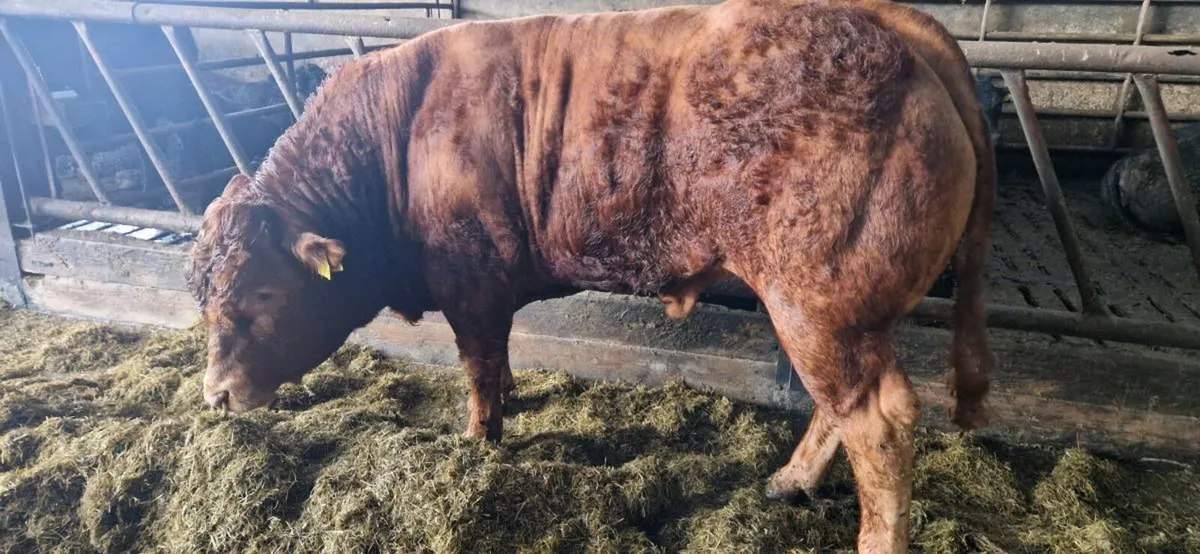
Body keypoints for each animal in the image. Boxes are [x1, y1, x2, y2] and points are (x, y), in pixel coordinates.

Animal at [185, 0, 996, 550]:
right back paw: (787, 482)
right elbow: (497, 361)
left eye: (263, 291)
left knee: (878, 421)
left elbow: (477, 368)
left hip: (818, 306)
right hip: (837, 317)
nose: (216, 395)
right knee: (840, 408)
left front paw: (478, 442)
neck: (397, 139)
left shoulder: (470, 283)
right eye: (202, 299)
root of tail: (890, 26)